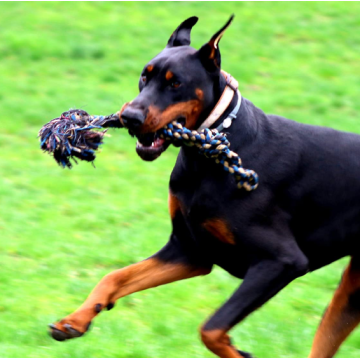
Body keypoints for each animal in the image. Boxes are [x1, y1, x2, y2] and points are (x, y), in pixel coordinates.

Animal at [50, 16, 360, 358]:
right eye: (144, 77)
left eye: (175, 83)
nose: (128, 116)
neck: (207, 158)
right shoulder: (189, 250)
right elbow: (113, 277)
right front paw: (74, 320)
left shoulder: (281, 261)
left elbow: (210, 328)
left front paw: (239, 352)